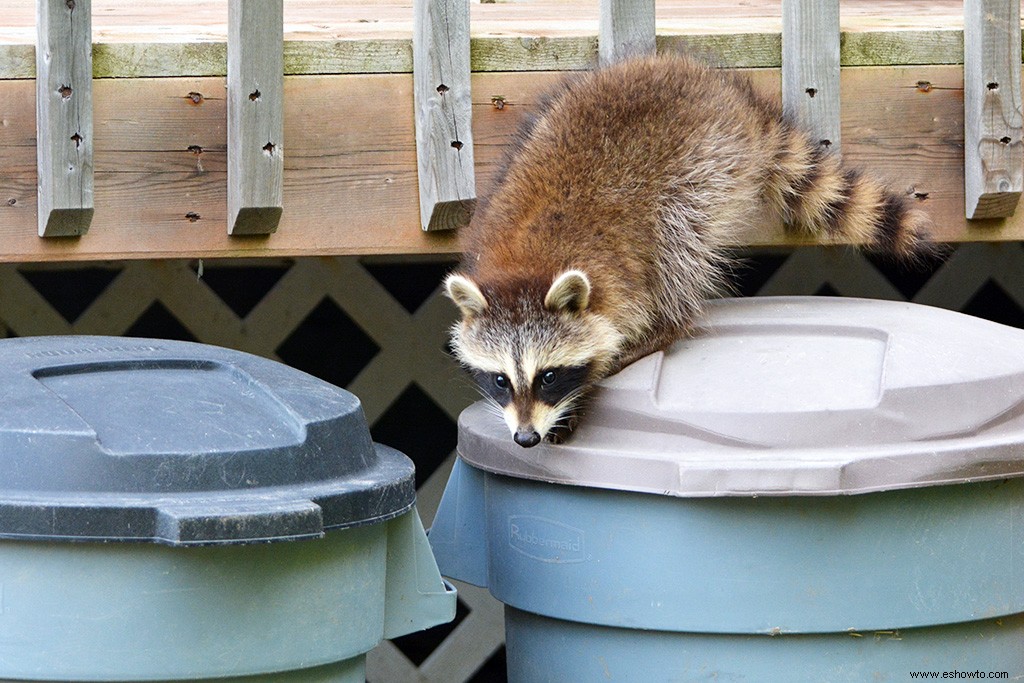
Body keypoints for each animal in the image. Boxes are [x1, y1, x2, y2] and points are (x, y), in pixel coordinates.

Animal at [444, 54, 933, 448]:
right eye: (500, 380)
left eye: (548, 376)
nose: (525, 438)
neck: (528, 265)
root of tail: (728, 96)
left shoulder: (622, 278)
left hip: (704, 170)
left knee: (678, 244)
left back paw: (669, 322)